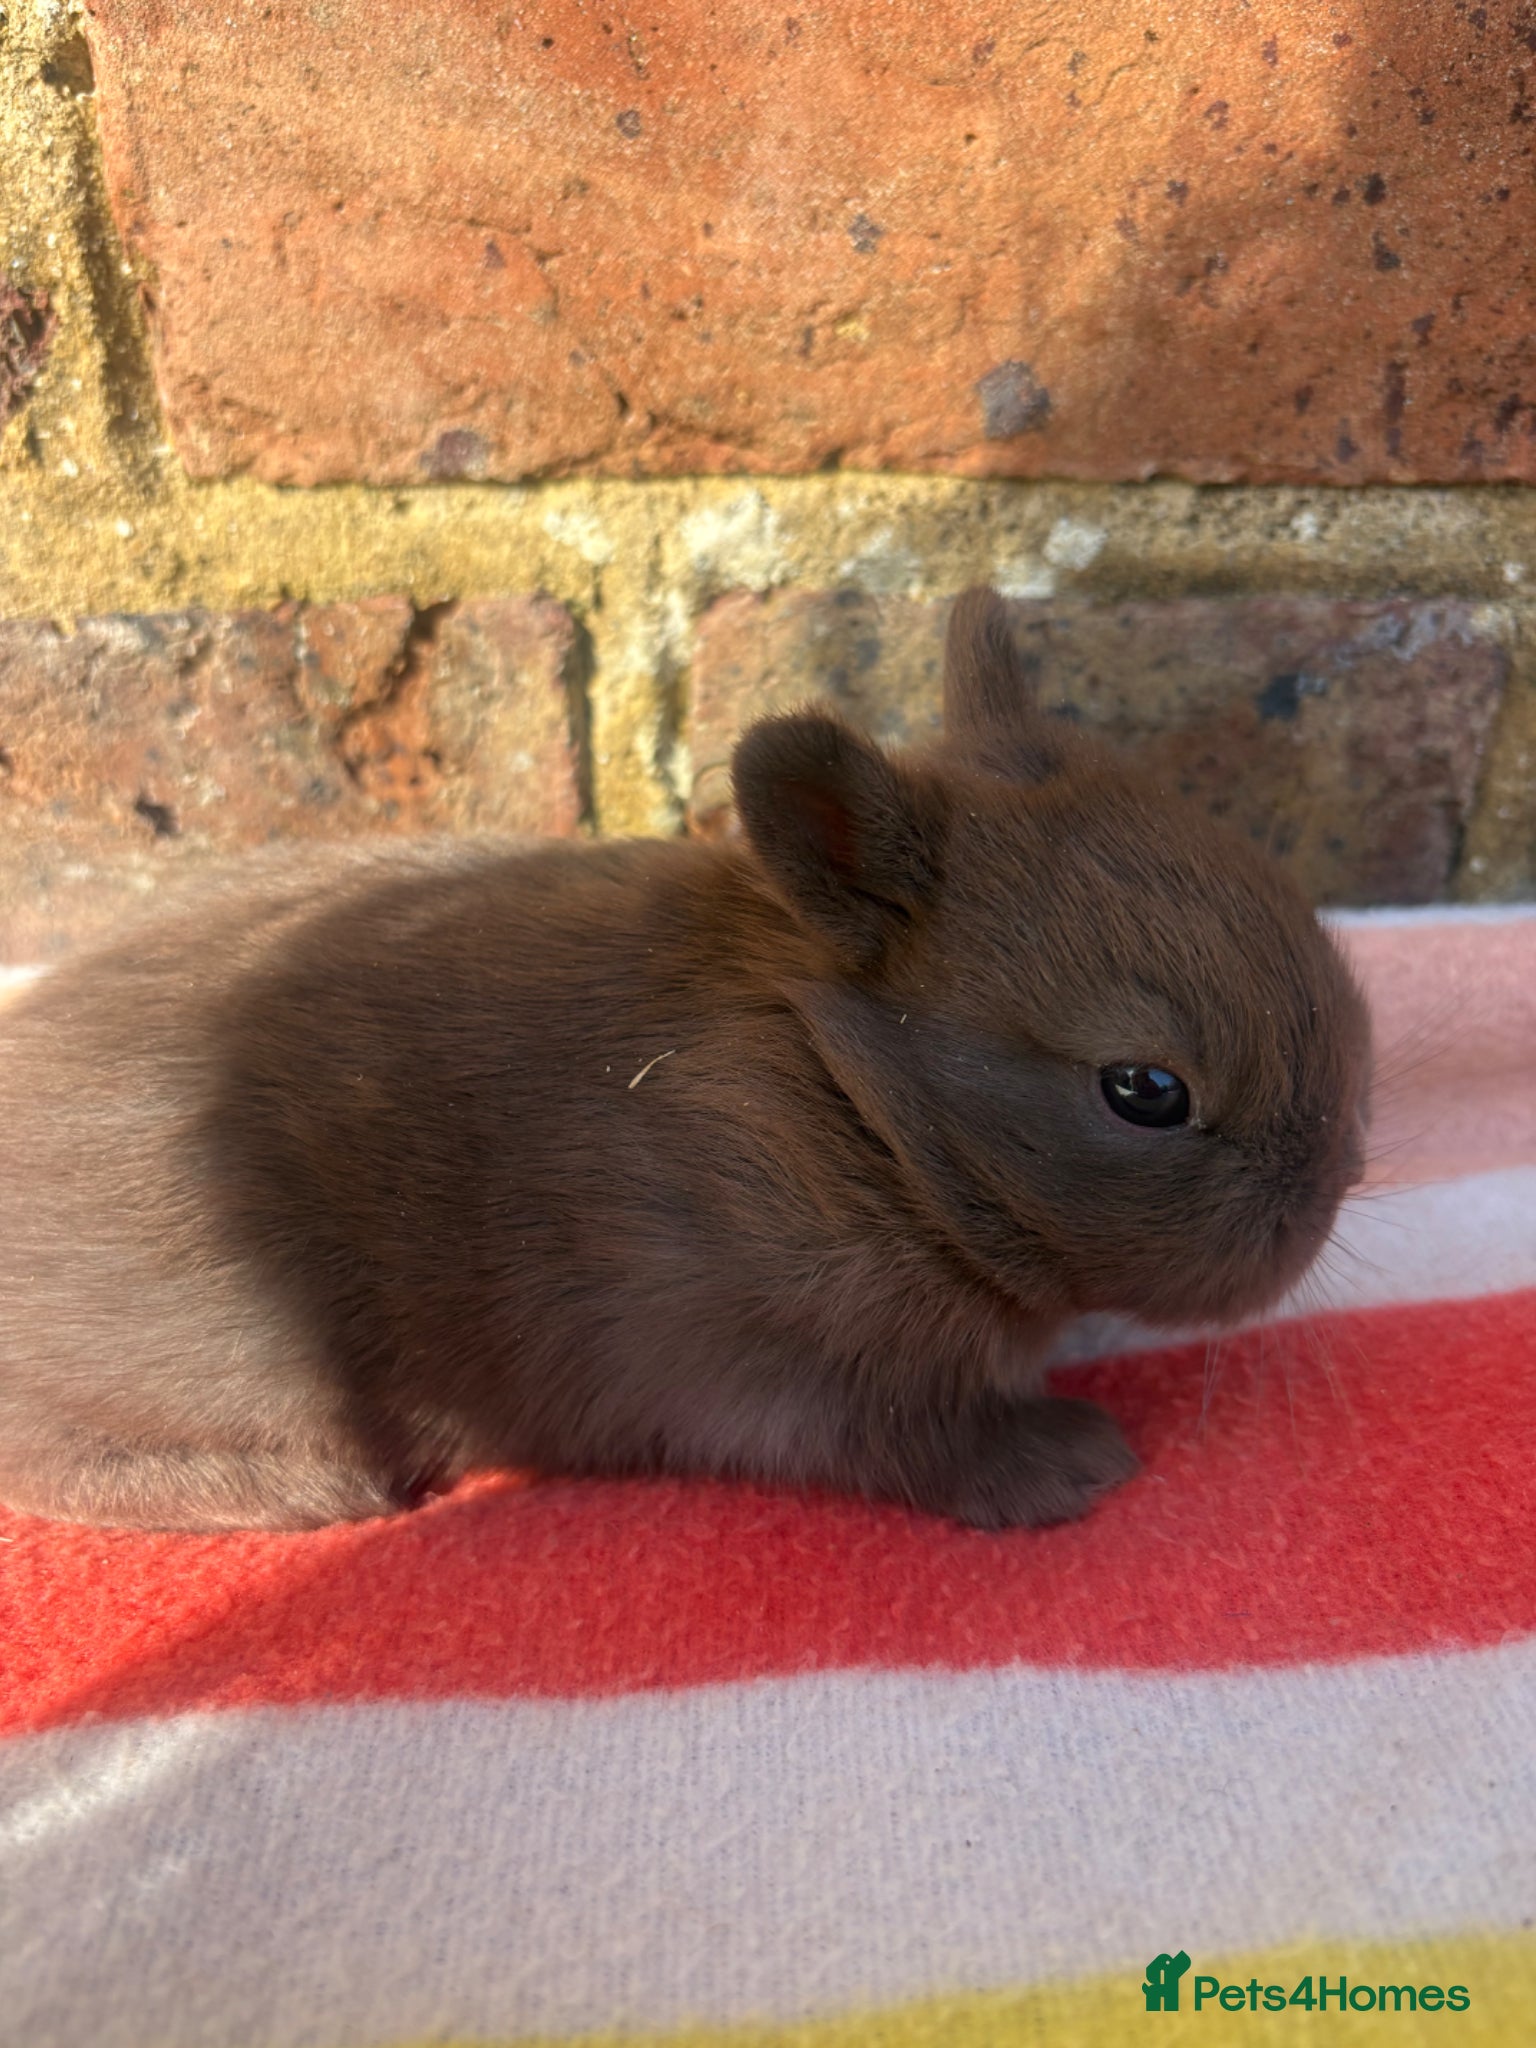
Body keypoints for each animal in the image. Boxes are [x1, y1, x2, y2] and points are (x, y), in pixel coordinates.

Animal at [0, 587, 1372, 1533]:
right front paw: (1070, 1463)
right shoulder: (802, 1364)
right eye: (1146, 1091)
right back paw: (316, 1487)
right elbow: (921, 1435)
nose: (1341, 1175)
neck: (852, 1101)